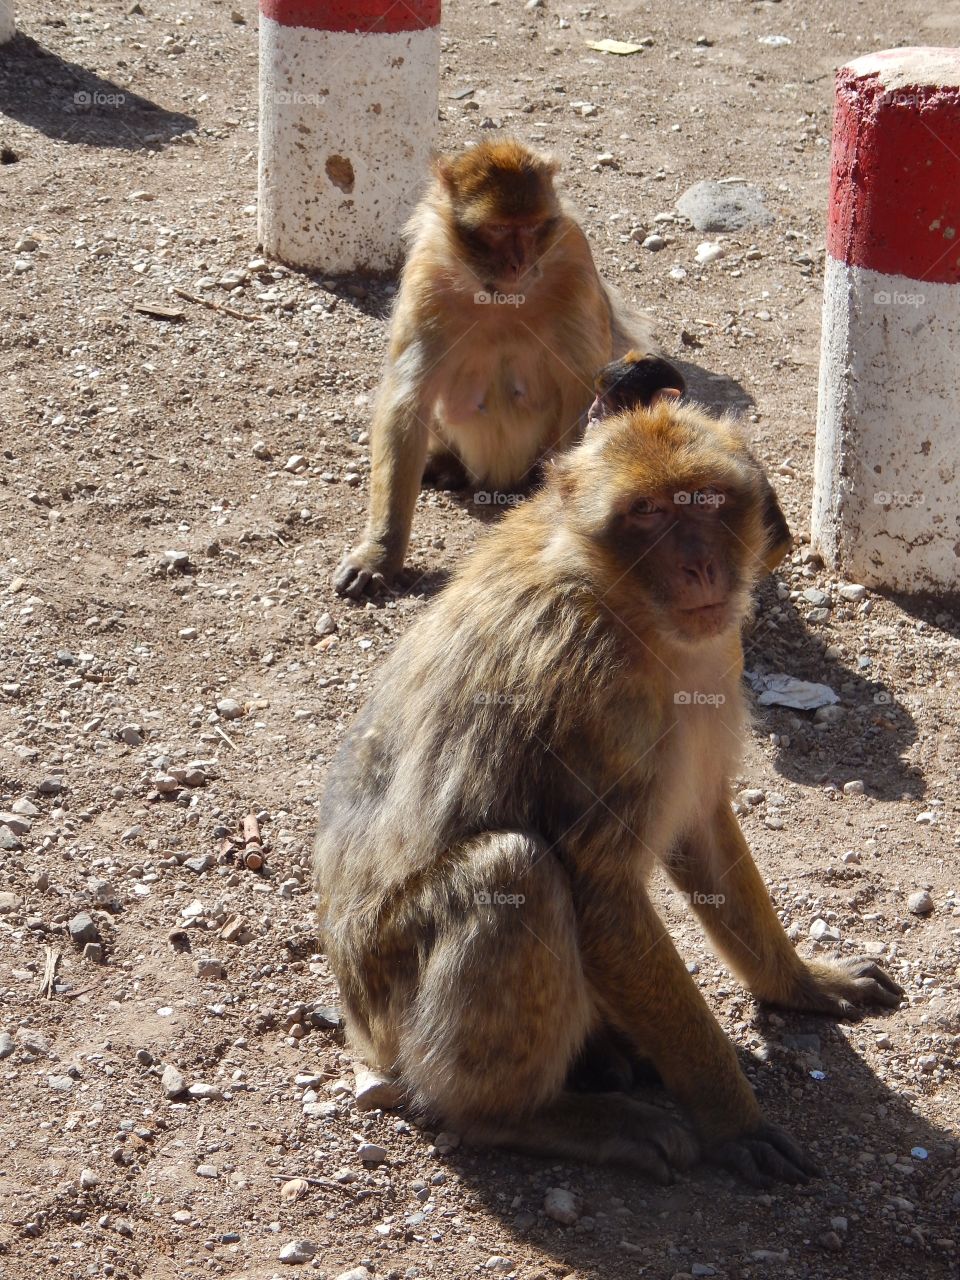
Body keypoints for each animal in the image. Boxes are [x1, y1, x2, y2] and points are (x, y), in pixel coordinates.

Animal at [315, 379, 902, 1186]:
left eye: (707, 501)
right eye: (647, 512)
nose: (700, 568)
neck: (623, 602)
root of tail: (357, 1020)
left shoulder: (717, 649)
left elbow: (700, 823)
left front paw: (799, 983)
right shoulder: (592, 687)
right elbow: (598, 890)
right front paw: (732, 1118)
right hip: (395, 1005)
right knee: (517, 873)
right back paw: (523, 1117)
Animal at [333, 137, 655, 599]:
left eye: (532, 226)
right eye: (499, 230)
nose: (519, 264)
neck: (499, 294)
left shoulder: (573, 258)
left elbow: (588, 396)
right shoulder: (427, 272)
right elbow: (406, 404)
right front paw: (380, 554)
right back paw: (444, 464)